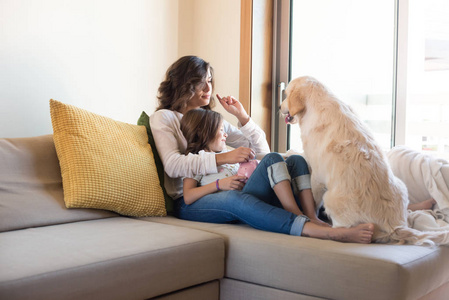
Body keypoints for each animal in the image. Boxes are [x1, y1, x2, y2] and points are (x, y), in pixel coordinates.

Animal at [280, 75, 448, 246]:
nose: (279, 107)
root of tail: (394, 227)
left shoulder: (316, 176)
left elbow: (313, 200)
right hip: (402, 186)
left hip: (331, 199)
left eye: (286, 94)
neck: (317, 102)